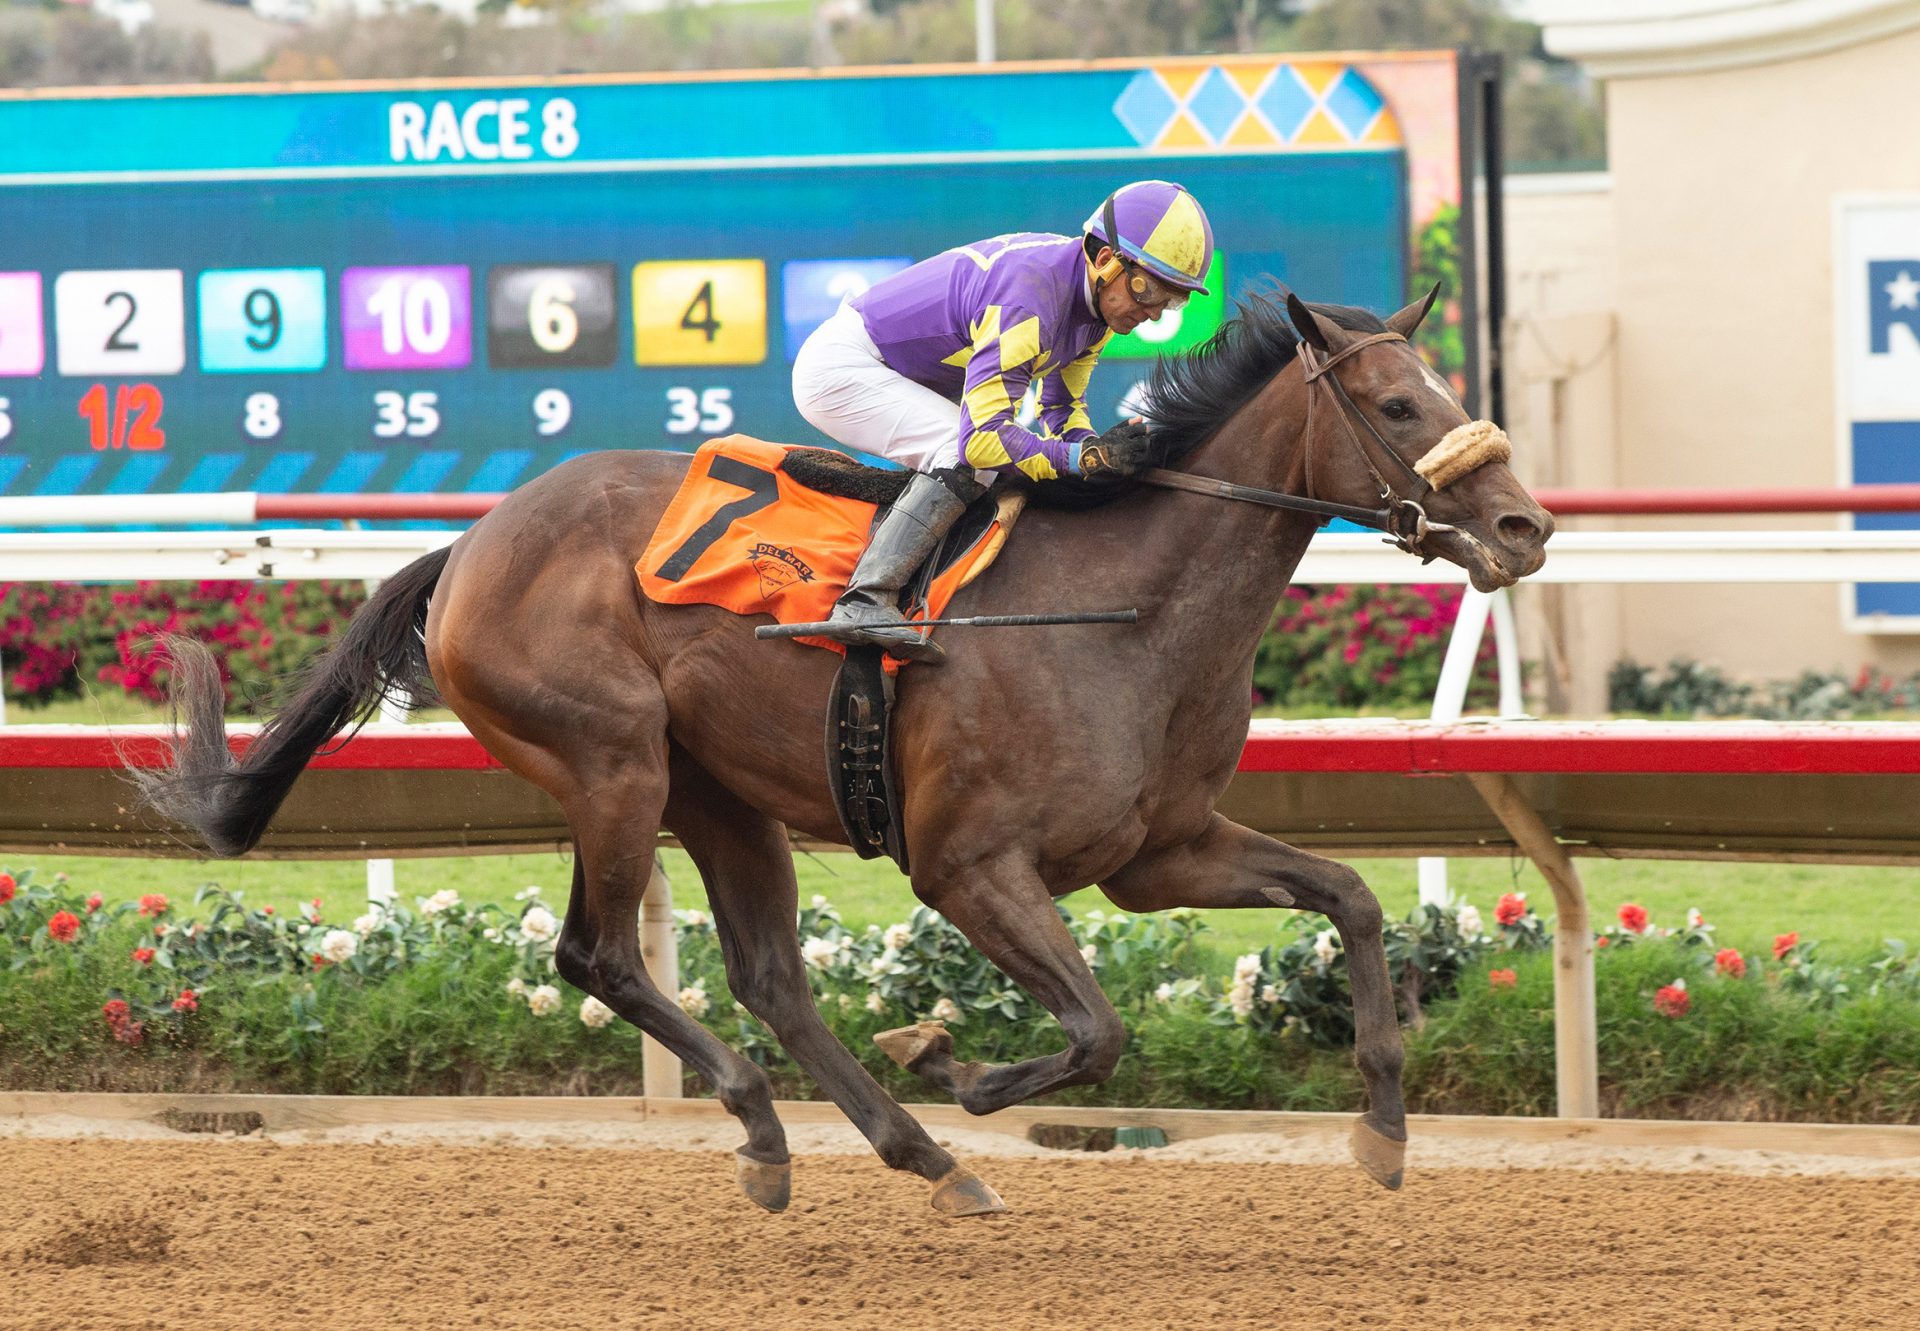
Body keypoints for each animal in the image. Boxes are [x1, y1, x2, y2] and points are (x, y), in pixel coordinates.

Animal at [135, 290, 1551, 1213]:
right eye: (1396, 401)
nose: (1525, 527)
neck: (1130, 608)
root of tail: (475, 537)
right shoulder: (968, 866)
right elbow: (1096, 1027)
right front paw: (955, 1059)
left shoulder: (1163, 852)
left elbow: (1353, 898)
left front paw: (1382, 1127)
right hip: (613, 762)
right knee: (598, 954)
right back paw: (784, 1123)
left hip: (717, 791)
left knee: (768, 974)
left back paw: (915, 1155)